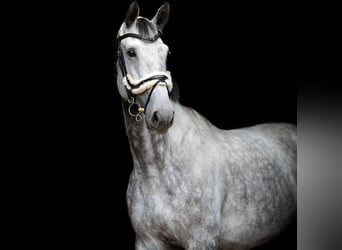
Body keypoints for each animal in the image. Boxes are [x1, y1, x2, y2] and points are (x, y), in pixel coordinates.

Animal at [115, 2, 296, 250]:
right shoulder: (147, 241)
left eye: (166, 52)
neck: (157, 169)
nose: (163, 115)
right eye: (131, 52)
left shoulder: (201, 240)